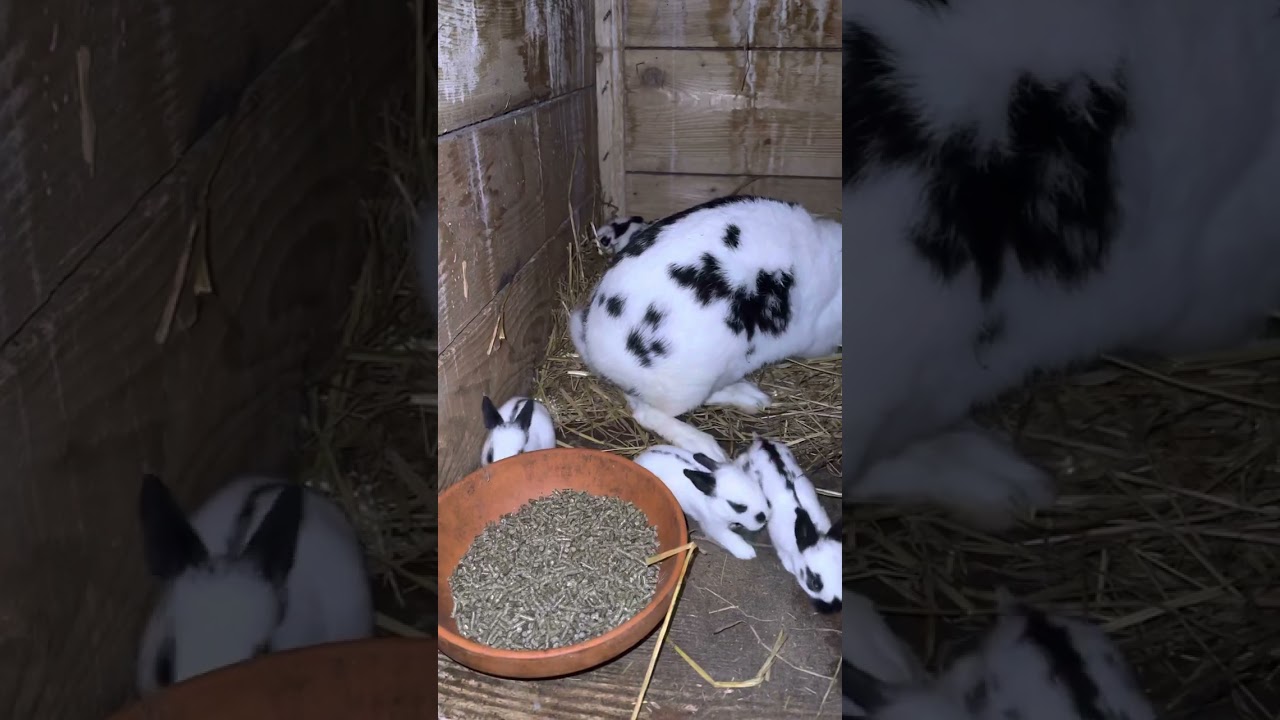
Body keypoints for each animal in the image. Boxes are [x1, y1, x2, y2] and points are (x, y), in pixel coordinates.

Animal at [633, 444, 771, 560]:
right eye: (737, 506)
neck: (714, 505)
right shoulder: (713, 526)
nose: (764, 518)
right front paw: (748, 552)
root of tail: (640, 457)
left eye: (758, 488)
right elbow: (730, 536)